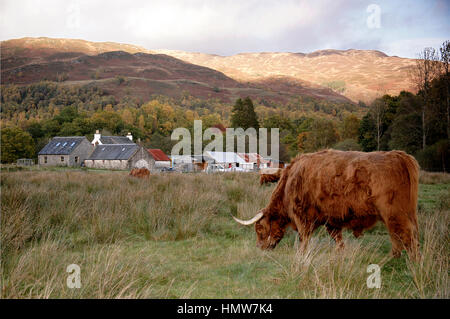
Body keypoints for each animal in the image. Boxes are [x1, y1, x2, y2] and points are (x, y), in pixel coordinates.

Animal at [234, 150, 420, 260]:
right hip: (402, 214)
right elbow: (336, 237)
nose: (260, 248)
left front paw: (301, 255)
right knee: (398, 235)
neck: (289, 182)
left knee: (405, 235)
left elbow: (304, 237)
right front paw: (340, 253)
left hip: (394, 212)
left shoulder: (302, 215)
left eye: (259, 228)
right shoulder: (331, 219)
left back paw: (410, 262)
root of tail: (398, 155)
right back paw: (393, 258)